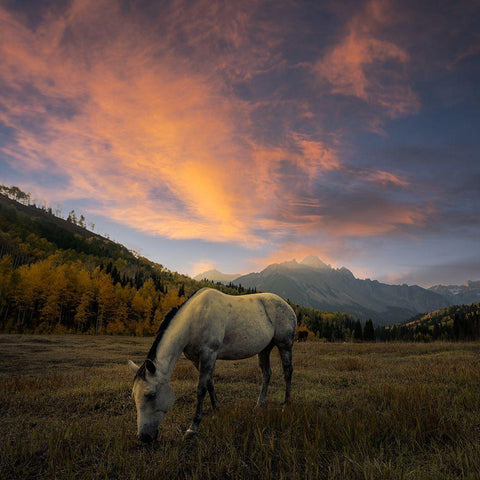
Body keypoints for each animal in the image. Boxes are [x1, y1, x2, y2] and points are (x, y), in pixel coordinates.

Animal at [129, 286, 298, 440]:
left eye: (150, 395)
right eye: (134, 395)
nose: (143, 437)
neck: (194, 319)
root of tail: (288, 307)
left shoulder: (208, 354)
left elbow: (201, 389)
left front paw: (193, 427)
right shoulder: (196, 359)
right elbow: (210, 383)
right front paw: (217, 409)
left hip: (285, 345)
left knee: (287, 372)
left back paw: (286, 405)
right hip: (264, 349)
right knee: (266, 374)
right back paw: (259, 405)